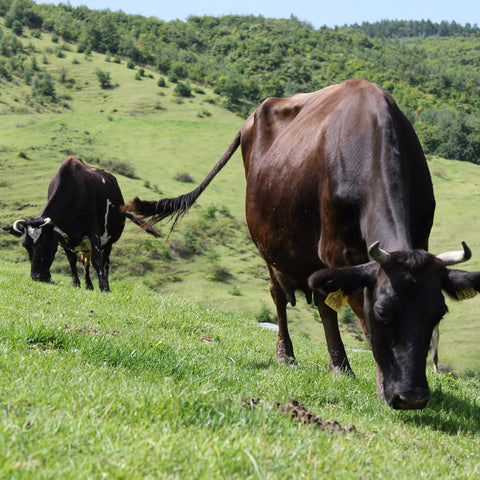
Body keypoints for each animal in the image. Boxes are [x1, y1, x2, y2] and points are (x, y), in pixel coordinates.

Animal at [124, 79, 480, 408]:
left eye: (438, 313)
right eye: (383, 312)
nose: (413, 397)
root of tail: (251, 118)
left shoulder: (417, 237)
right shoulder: (341, 252)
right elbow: (361, 319)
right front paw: (381, 385)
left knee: (322, 302)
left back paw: (339, 364)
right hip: (268, 245)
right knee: (279, 295)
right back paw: (287, 354)